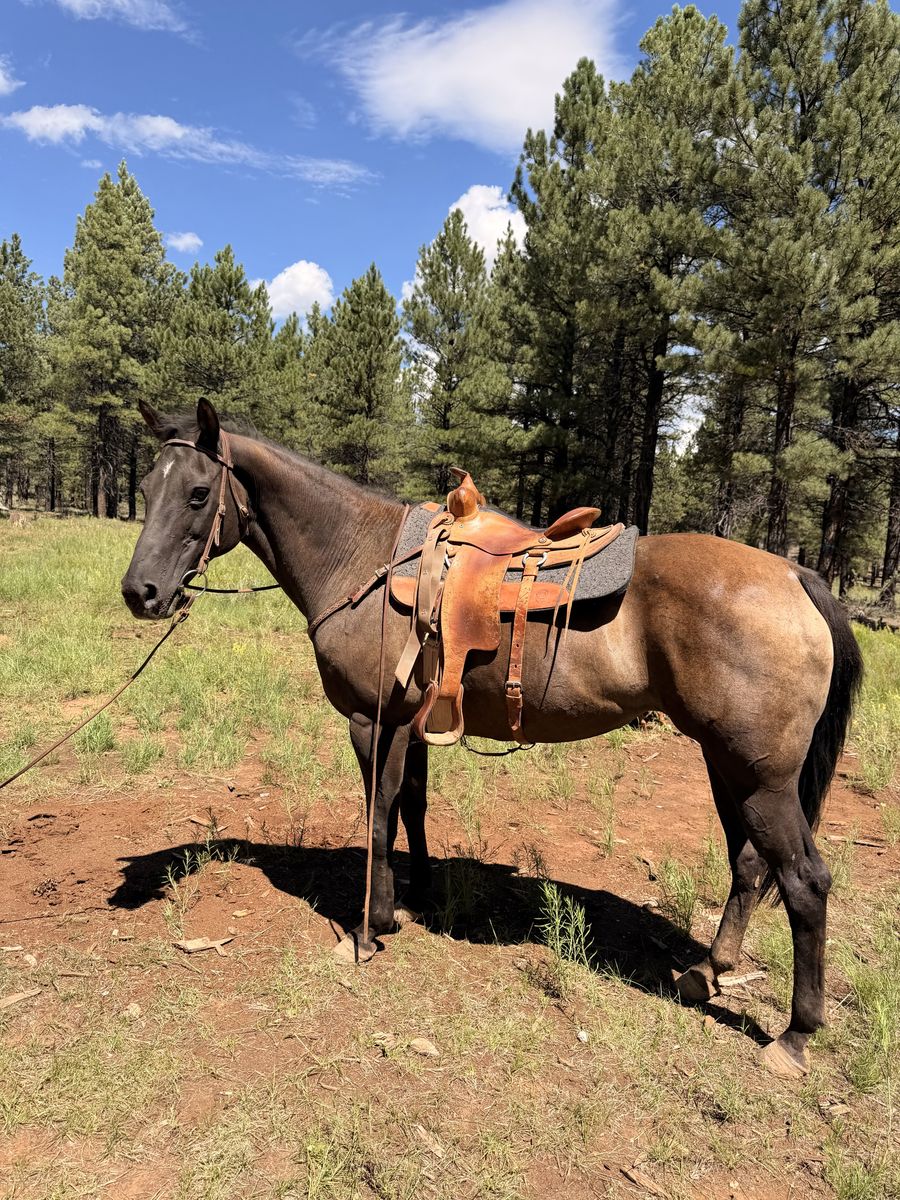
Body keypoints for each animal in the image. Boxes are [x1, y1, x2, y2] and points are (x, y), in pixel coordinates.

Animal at [121, 398, 862, 1081]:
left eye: (197, 493)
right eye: (148, 489)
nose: (141, 592)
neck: (358, 556)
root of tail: (796, 576)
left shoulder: (372, 721)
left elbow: (379, 814)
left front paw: (369, 927)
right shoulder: (412, 723)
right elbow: (412, 807)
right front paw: (415, 895)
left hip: (762, 780)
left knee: (805, 881)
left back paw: (794, 1035)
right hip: (728, 767)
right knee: (749, 864)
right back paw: (707, 971)